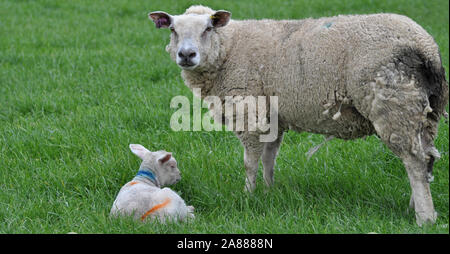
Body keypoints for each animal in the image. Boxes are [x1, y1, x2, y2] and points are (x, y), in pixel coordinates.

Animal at [149, 4, 448, 225]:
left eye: (208, 28)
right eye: (173, 29)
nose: (186, 55)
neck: (229, 48)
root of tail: (427, 48)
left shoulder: (249, 111)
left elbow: (250, 162)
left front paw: (248, 195)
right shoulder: (273, 116)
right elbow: (269, 158)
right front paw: (268, 192)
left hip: (395, 105)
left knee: (415, 162)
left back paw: (425, 217)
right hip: (426, 111)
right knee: (427, 159)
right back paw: (415, 207)